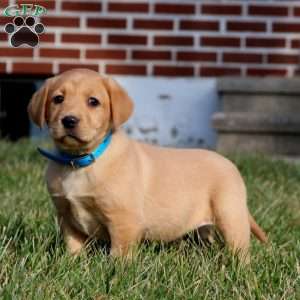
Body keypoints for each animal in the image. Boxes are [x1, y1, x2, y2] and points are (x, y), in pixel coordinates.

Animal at [28, 69, 268, 262]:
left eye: (93, 102)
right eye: (58, 99)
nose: (69, 120)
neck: (79, 162)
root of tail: (230, 164)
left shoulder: (124, 220)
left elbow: (119, 255)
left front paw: (116, 274)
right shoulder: (67, 217)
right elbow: (74, 248)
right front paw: (73, 265)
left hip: (230, 215)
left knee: (240, 250)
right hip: (206, 227)